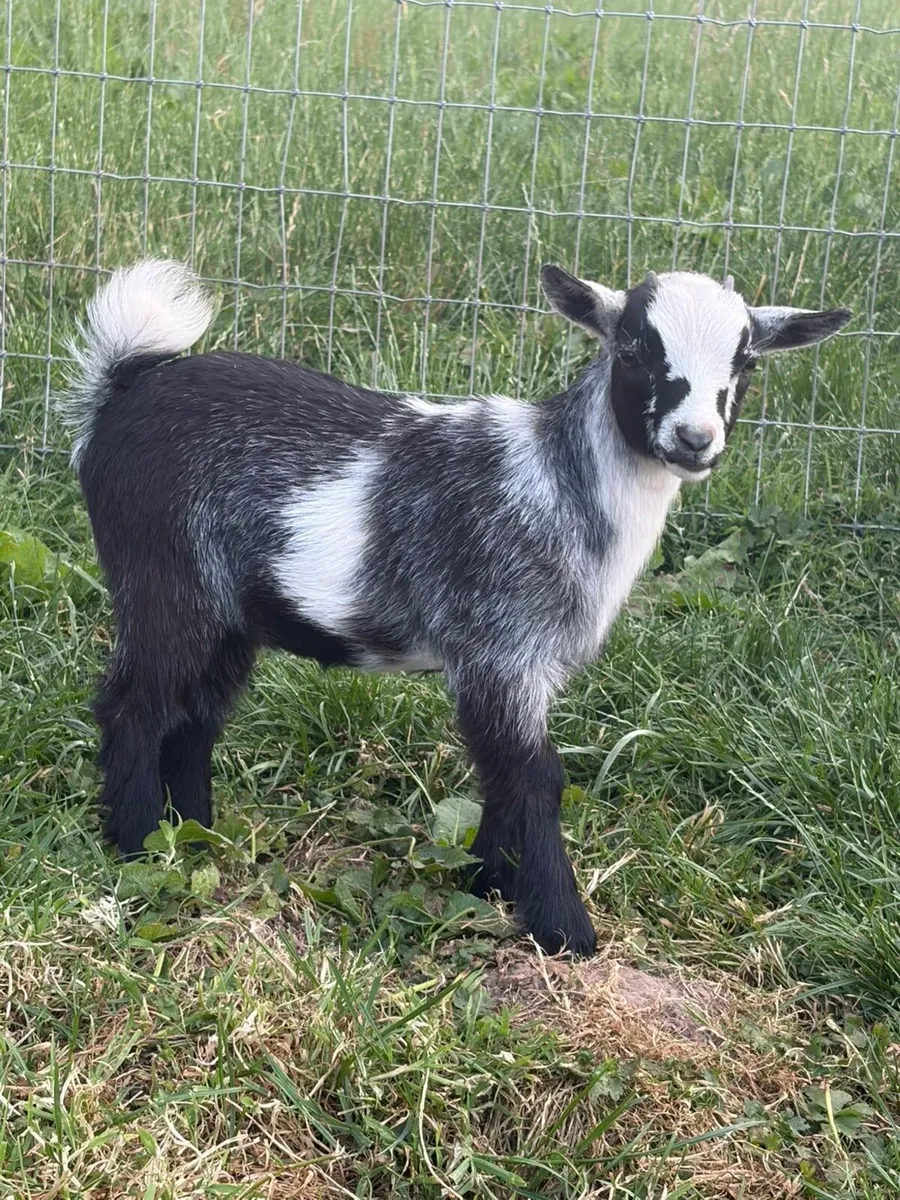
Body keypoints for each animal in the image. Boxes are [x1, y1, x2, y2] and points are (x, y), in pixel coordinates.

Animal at [64, 259, 849, 955]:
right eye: (632, 348)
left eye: (745, 362)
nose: (694, 439)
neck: (557, 488)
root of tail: (120, 395)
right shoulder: (498, 646)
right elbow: (535, 775)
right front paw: (563, 928)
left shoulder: (514, 665)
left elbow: (501, 771)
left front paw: (488, 882)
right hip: (163, 579)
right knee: (134, 704)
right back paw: (139, 844)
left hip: (227, 611)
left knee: (197, 713)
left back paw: (197, 832)